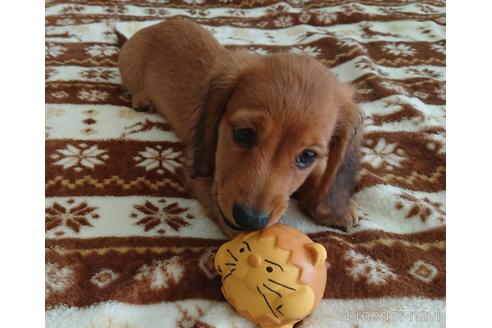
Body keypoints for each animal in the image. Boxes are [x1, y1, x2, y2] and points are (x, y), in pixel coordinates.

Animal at [116, 19, 362, 236]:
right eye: (244, 134)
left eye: (307, 156)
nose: (250, 221)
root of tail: (154, 26)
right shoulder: (198, 167)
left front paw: (336, 208)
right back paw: (142, 98)